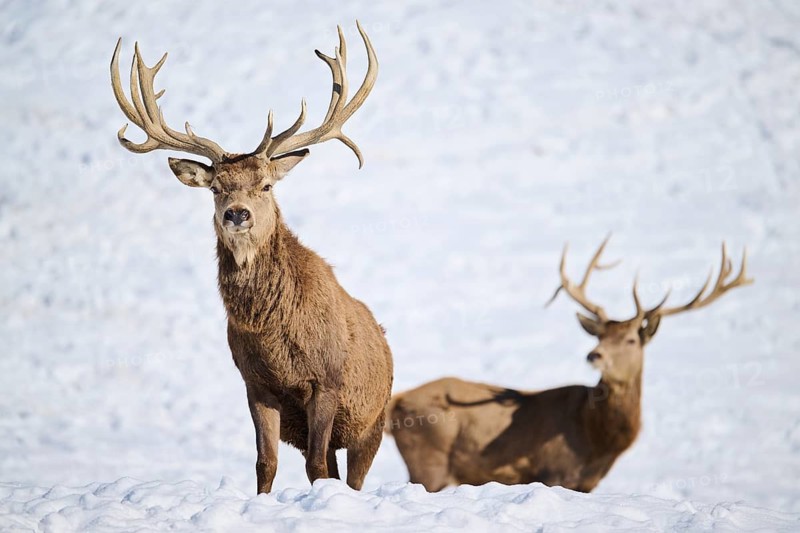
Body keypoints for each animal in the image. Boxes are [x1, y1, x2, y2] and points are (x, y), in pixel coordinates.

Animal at [109, 23, 393, 494]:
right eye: (215, 187)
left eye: (266, 185)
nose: (237, 213)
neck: (275, 339)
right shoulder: (255, 385)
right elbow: (266, 462)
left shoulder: (326, 380)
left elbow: (315, 465)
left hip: (372, 421)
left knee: (351, 475)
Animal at [386, 237, 752, 492]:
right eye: (600, 335)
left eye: (631, 340)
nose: (594, 355)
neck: (597, 442)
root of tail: (397, 402)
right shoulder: (555, 473)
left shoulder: (588, 483)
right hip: (429, 460)